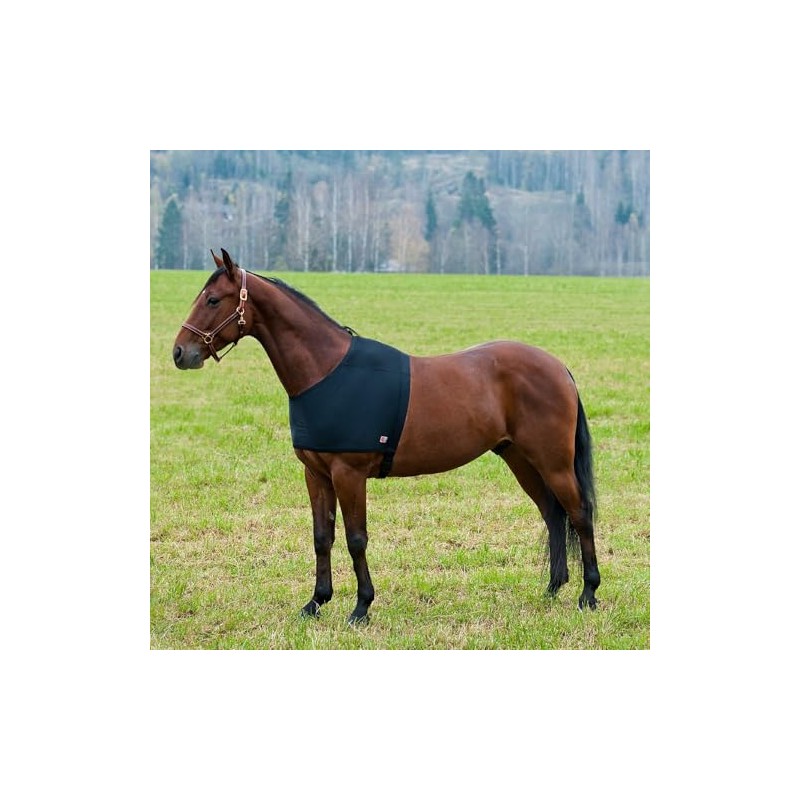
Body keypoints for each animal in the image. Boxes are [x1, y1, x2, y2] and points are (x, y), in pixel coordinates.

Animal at [172, 249, 600, 625]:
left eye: (213, 299)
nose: (180, 352)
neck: (326, 370)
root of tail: (559, 368)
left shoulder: (349, 474)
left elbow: (355, 538)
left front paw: (361, 607)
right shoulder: (316, 474)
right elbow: (322, 537)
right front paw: (316, 602)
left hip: (553, 463)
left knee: (579, 514)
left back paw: (588, 593)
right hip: (520, 460)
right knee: (552, 514)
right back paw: (552, 589)